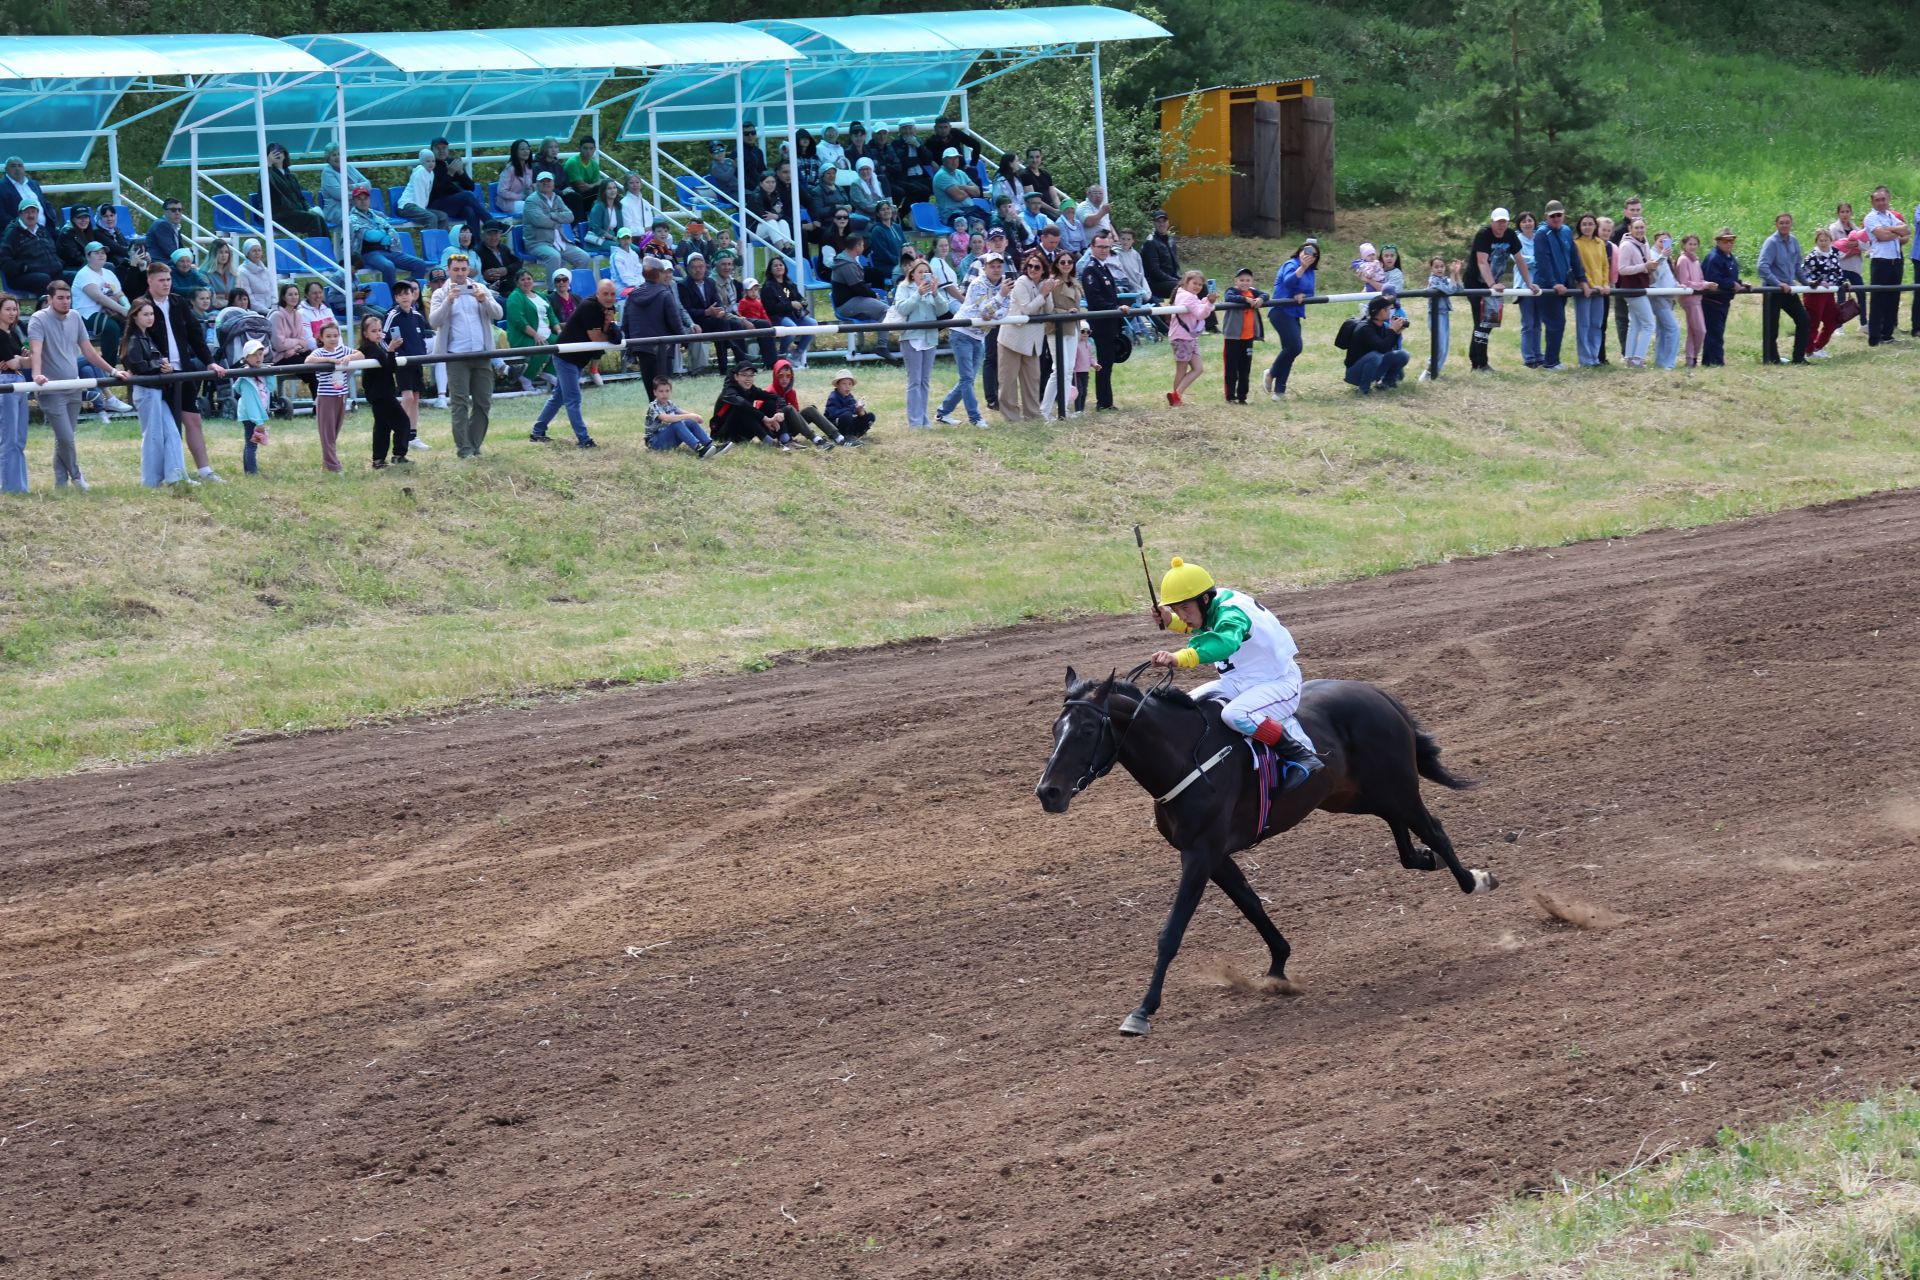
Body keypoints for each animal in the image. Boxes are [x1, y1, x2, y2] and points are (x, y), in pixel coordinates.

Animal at [1036, 671, 1497, 1043]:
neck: (1186, 757)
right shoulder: (1213, 855)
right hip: (1353, 796)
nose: (1048, 792)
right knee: (1405, 840)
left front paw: (1142, 1010)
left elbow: (1172, 932)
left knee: (1434, 828)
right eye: (1056, 728)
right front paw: (1278, 966)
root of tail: (1379, 694)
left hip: (1396, 786)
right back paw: (1429, 859)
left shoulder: (1201, 854)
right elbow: (1251, 904)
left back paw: (1473, 878)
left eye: (1087, 729)